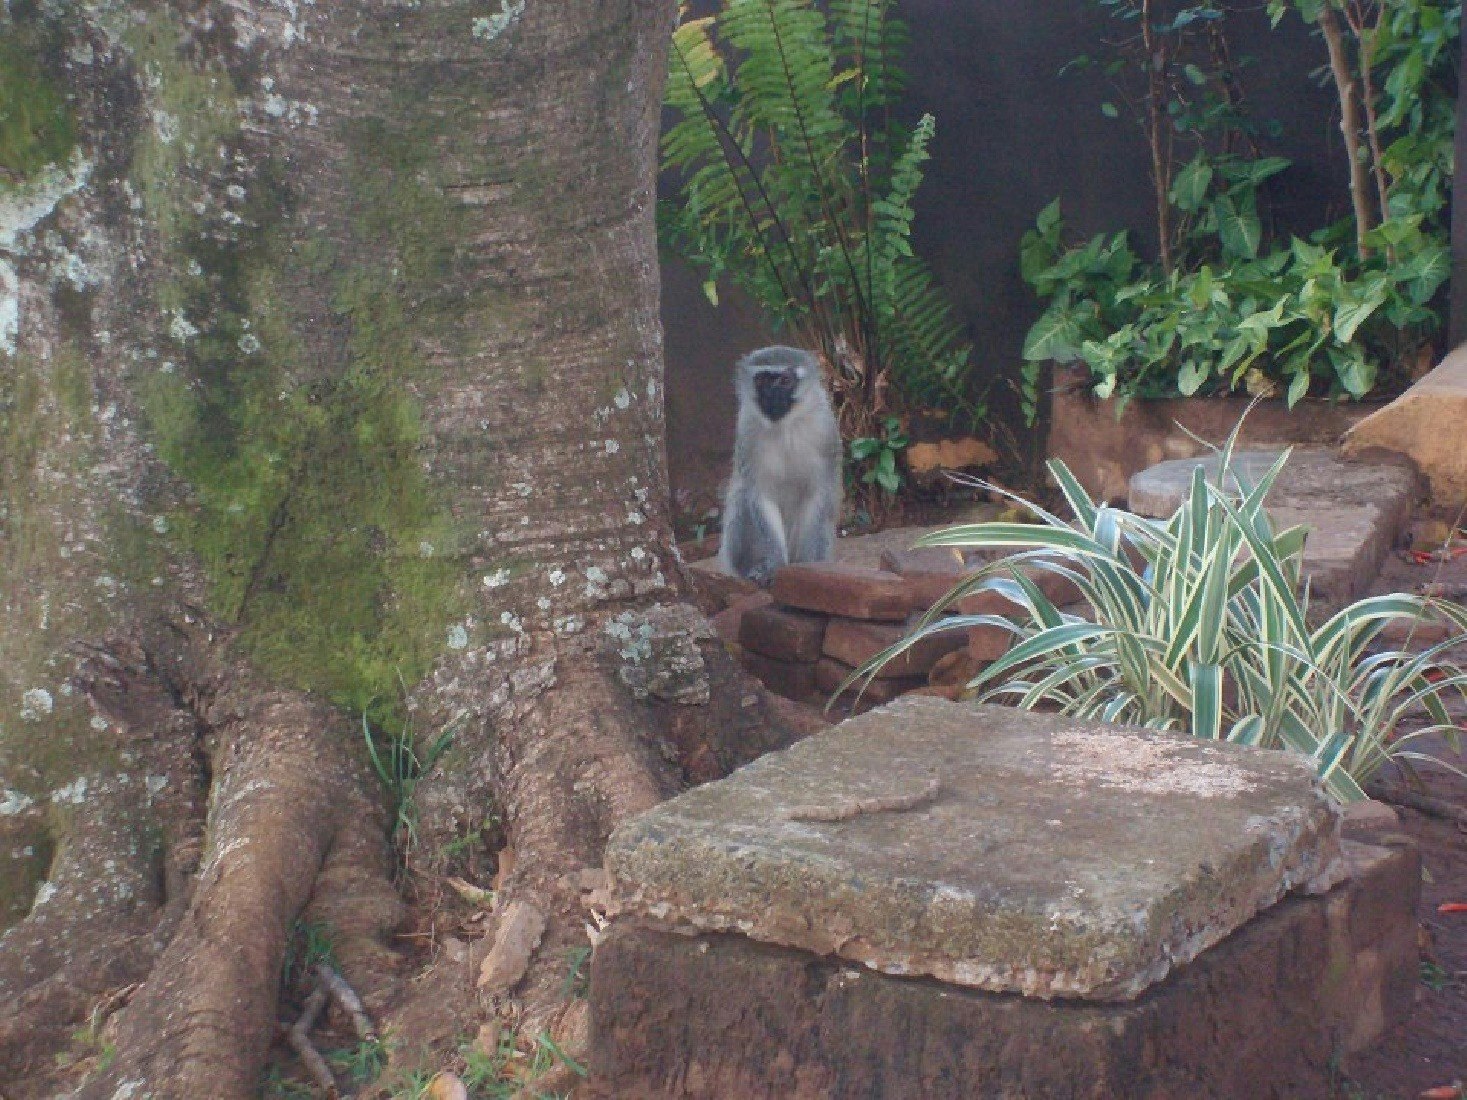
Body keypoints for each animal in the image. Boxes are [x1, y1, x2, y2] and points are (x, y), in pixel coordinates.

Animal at [717, 346, 842, 585]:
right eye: (763, 380)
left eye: (785, 380)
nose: (772, 396)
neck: (785, 427)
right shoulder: (746, 429)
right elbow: (760, 495)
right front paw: (774, 565)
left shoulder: (825, 430)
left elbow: (818, 494)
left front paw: (808, 567)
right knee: (742, 498)